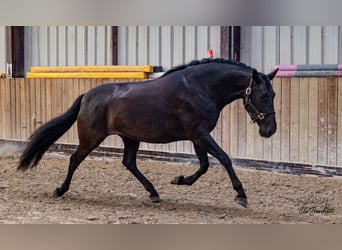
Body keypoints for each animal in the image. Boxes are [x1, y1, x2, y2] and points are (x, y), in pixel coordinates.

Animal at [18, 58, 278, 207]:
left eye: (274, 95)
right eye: (264, 95)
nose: (270, 130)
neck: (201, 87)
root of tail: (87, 96)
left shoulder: (197, 136)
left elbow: (204, 166)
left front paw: (179, 180)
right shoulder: (199, 133)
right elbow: (224, 158)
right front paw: (241, 195)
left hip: (130, 138)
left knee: (129, 162)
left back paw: (153, 193)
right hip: (91, 137)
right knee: (75, 159)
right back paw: (61, 190)